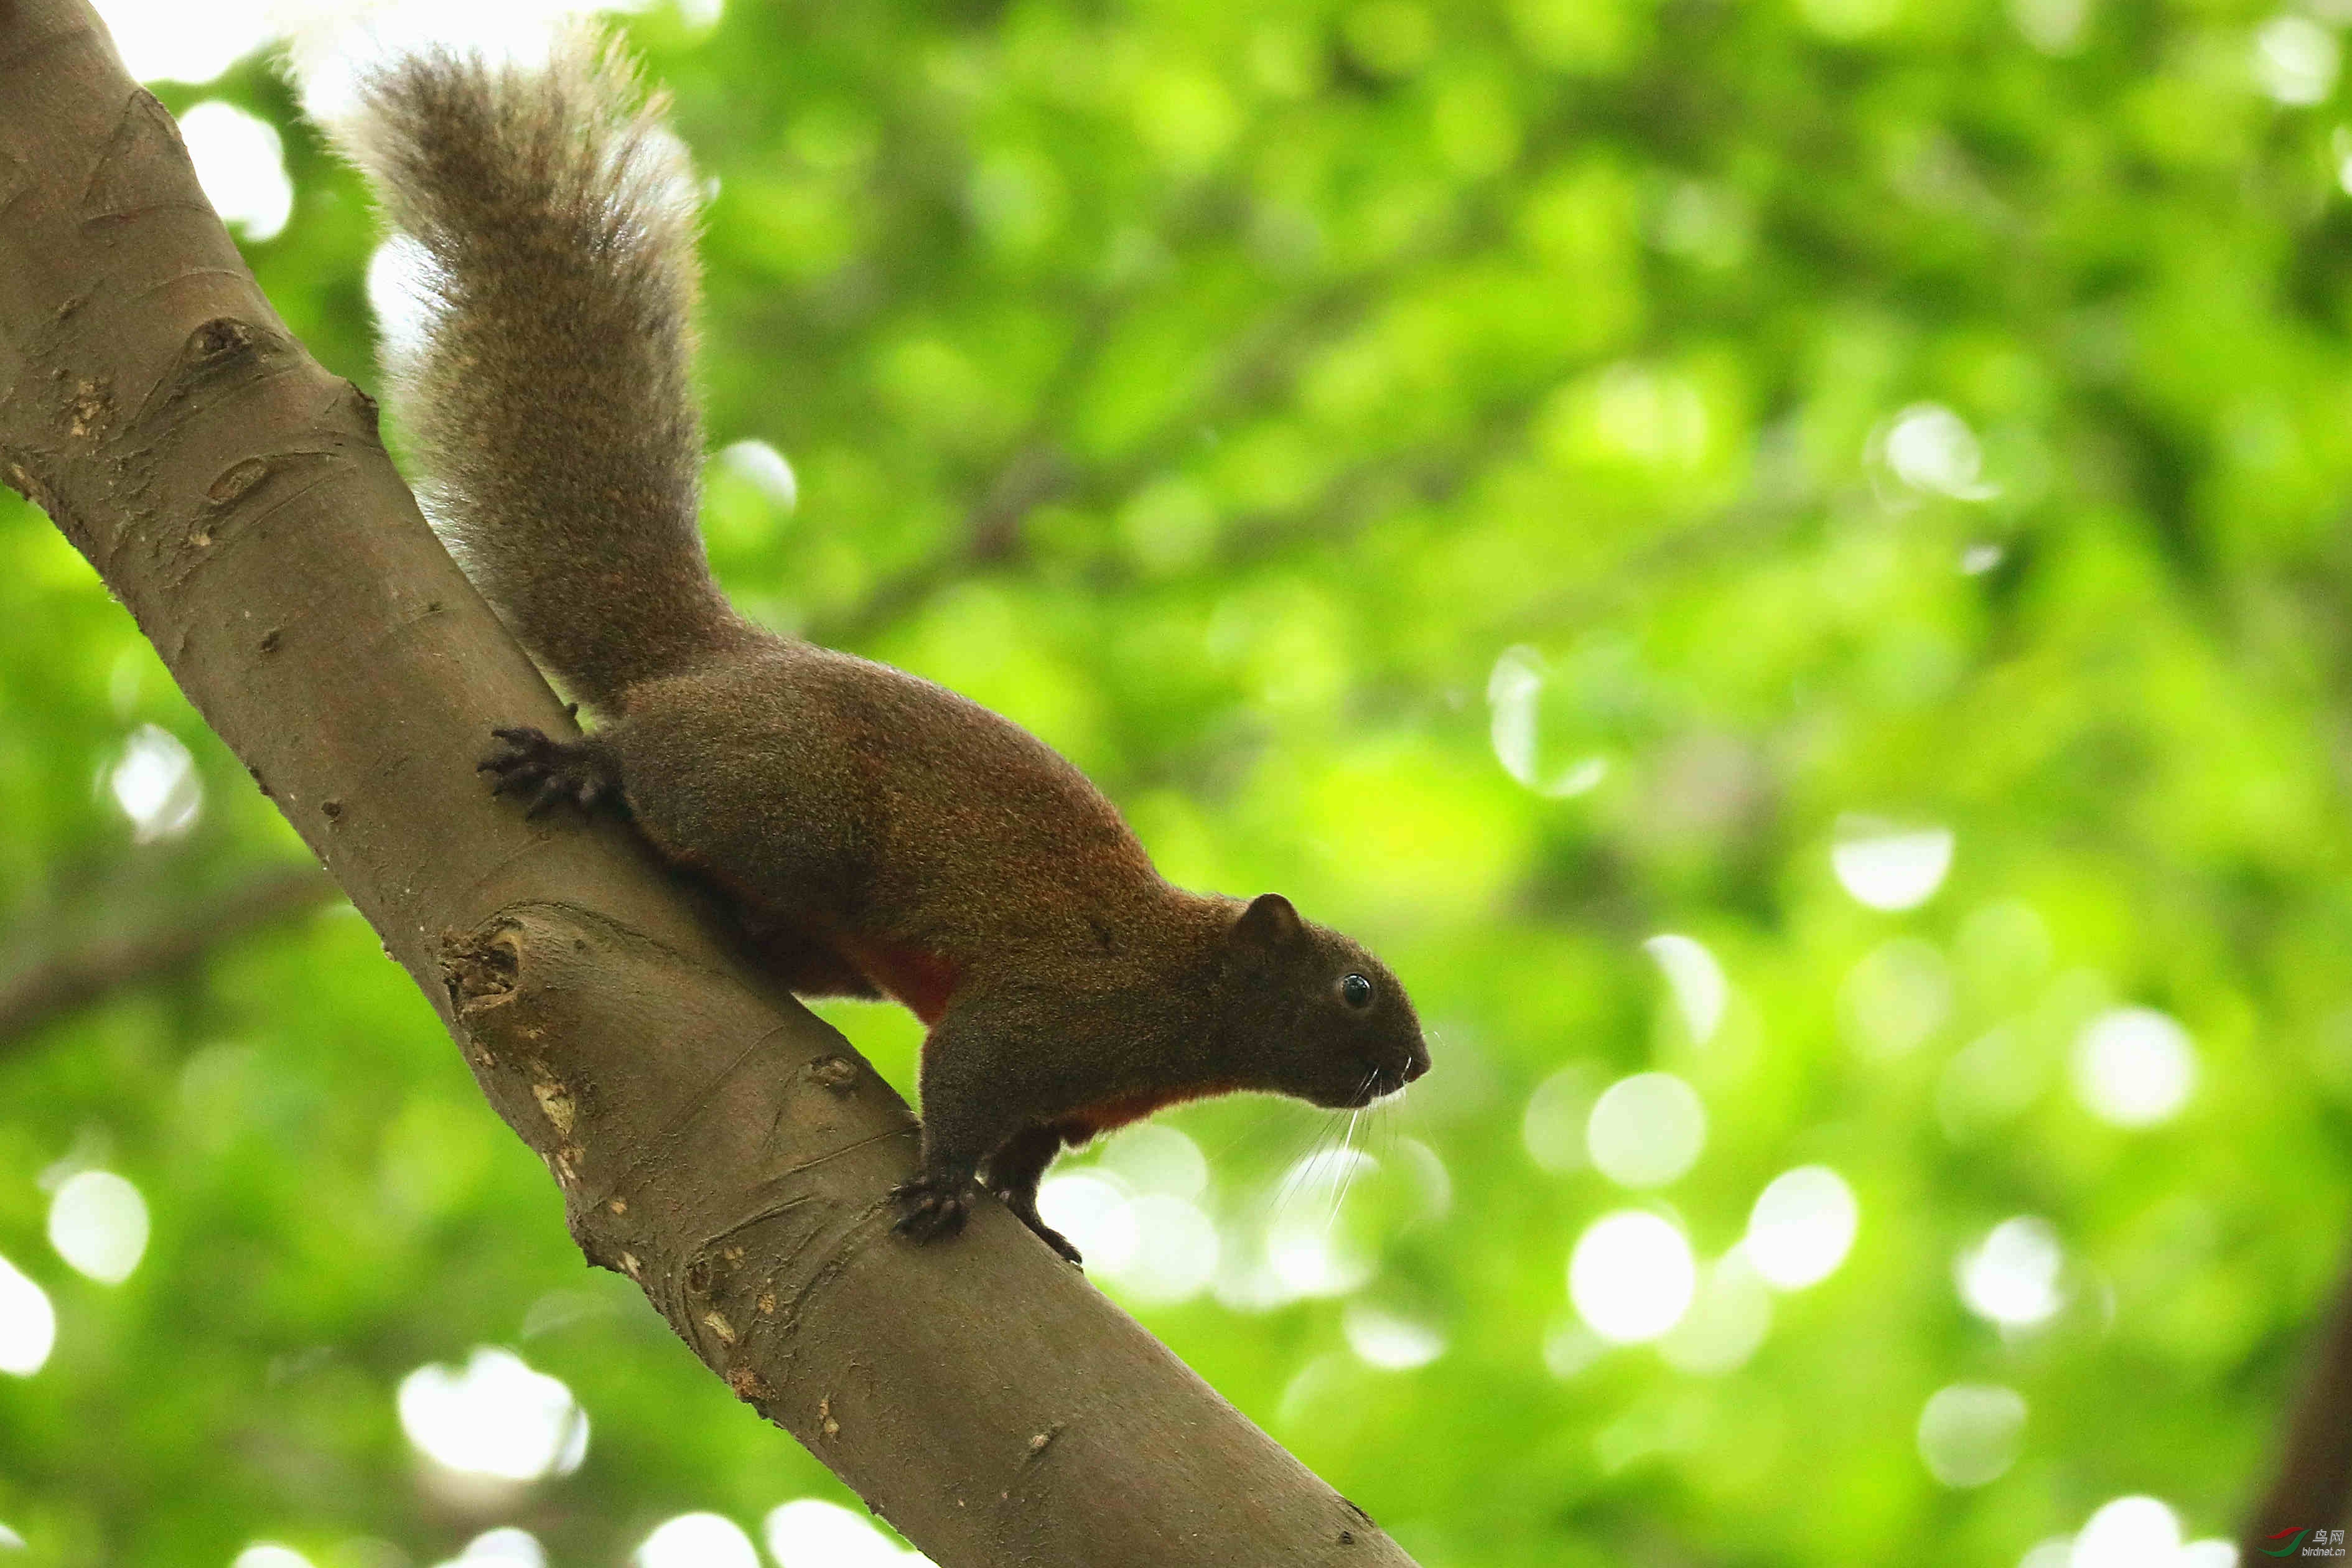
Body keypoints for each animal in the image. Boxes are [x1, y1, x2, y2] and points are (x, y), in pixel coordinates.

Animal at [334, 34, 1421, 1260]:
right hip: (782, 803)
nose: (1417, 1062)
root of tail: (716, 657)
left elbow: (1027, 1162)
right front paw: (945, 1184)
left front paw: (1035, 1223)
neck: (1187, 988)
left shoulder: (1071, 1108)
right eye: (1353, 989)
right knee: (654, 759)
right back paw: (581, 764)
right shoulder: (1049, 1017)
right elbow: (968, 1081)